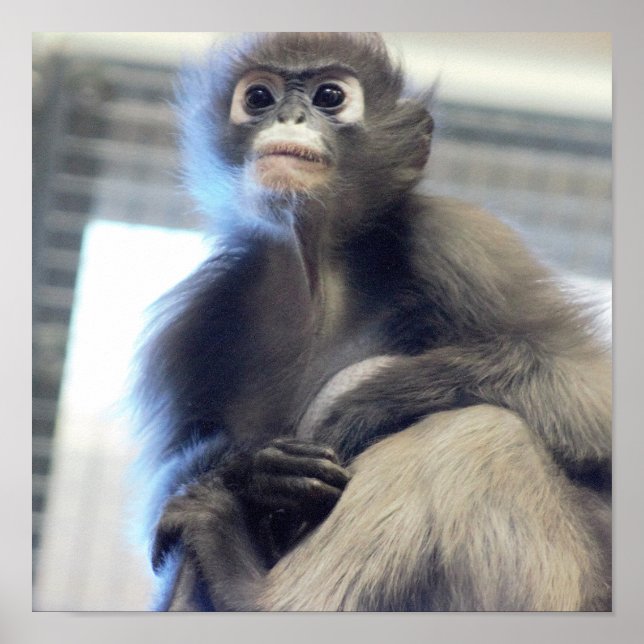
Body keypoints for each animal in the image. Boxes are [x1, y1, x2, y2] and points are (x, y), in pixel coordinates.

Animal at [133, 32, 611, 611]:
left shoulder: (457, 238)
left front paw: (365, 408)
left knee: (479, 429)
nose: (289, 116)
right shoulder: (197, 317)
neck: (318, 272)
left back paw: (244, 587)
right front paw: (255, 471)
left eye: (330, 96)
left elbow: (591, 391)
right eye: (259, 98)